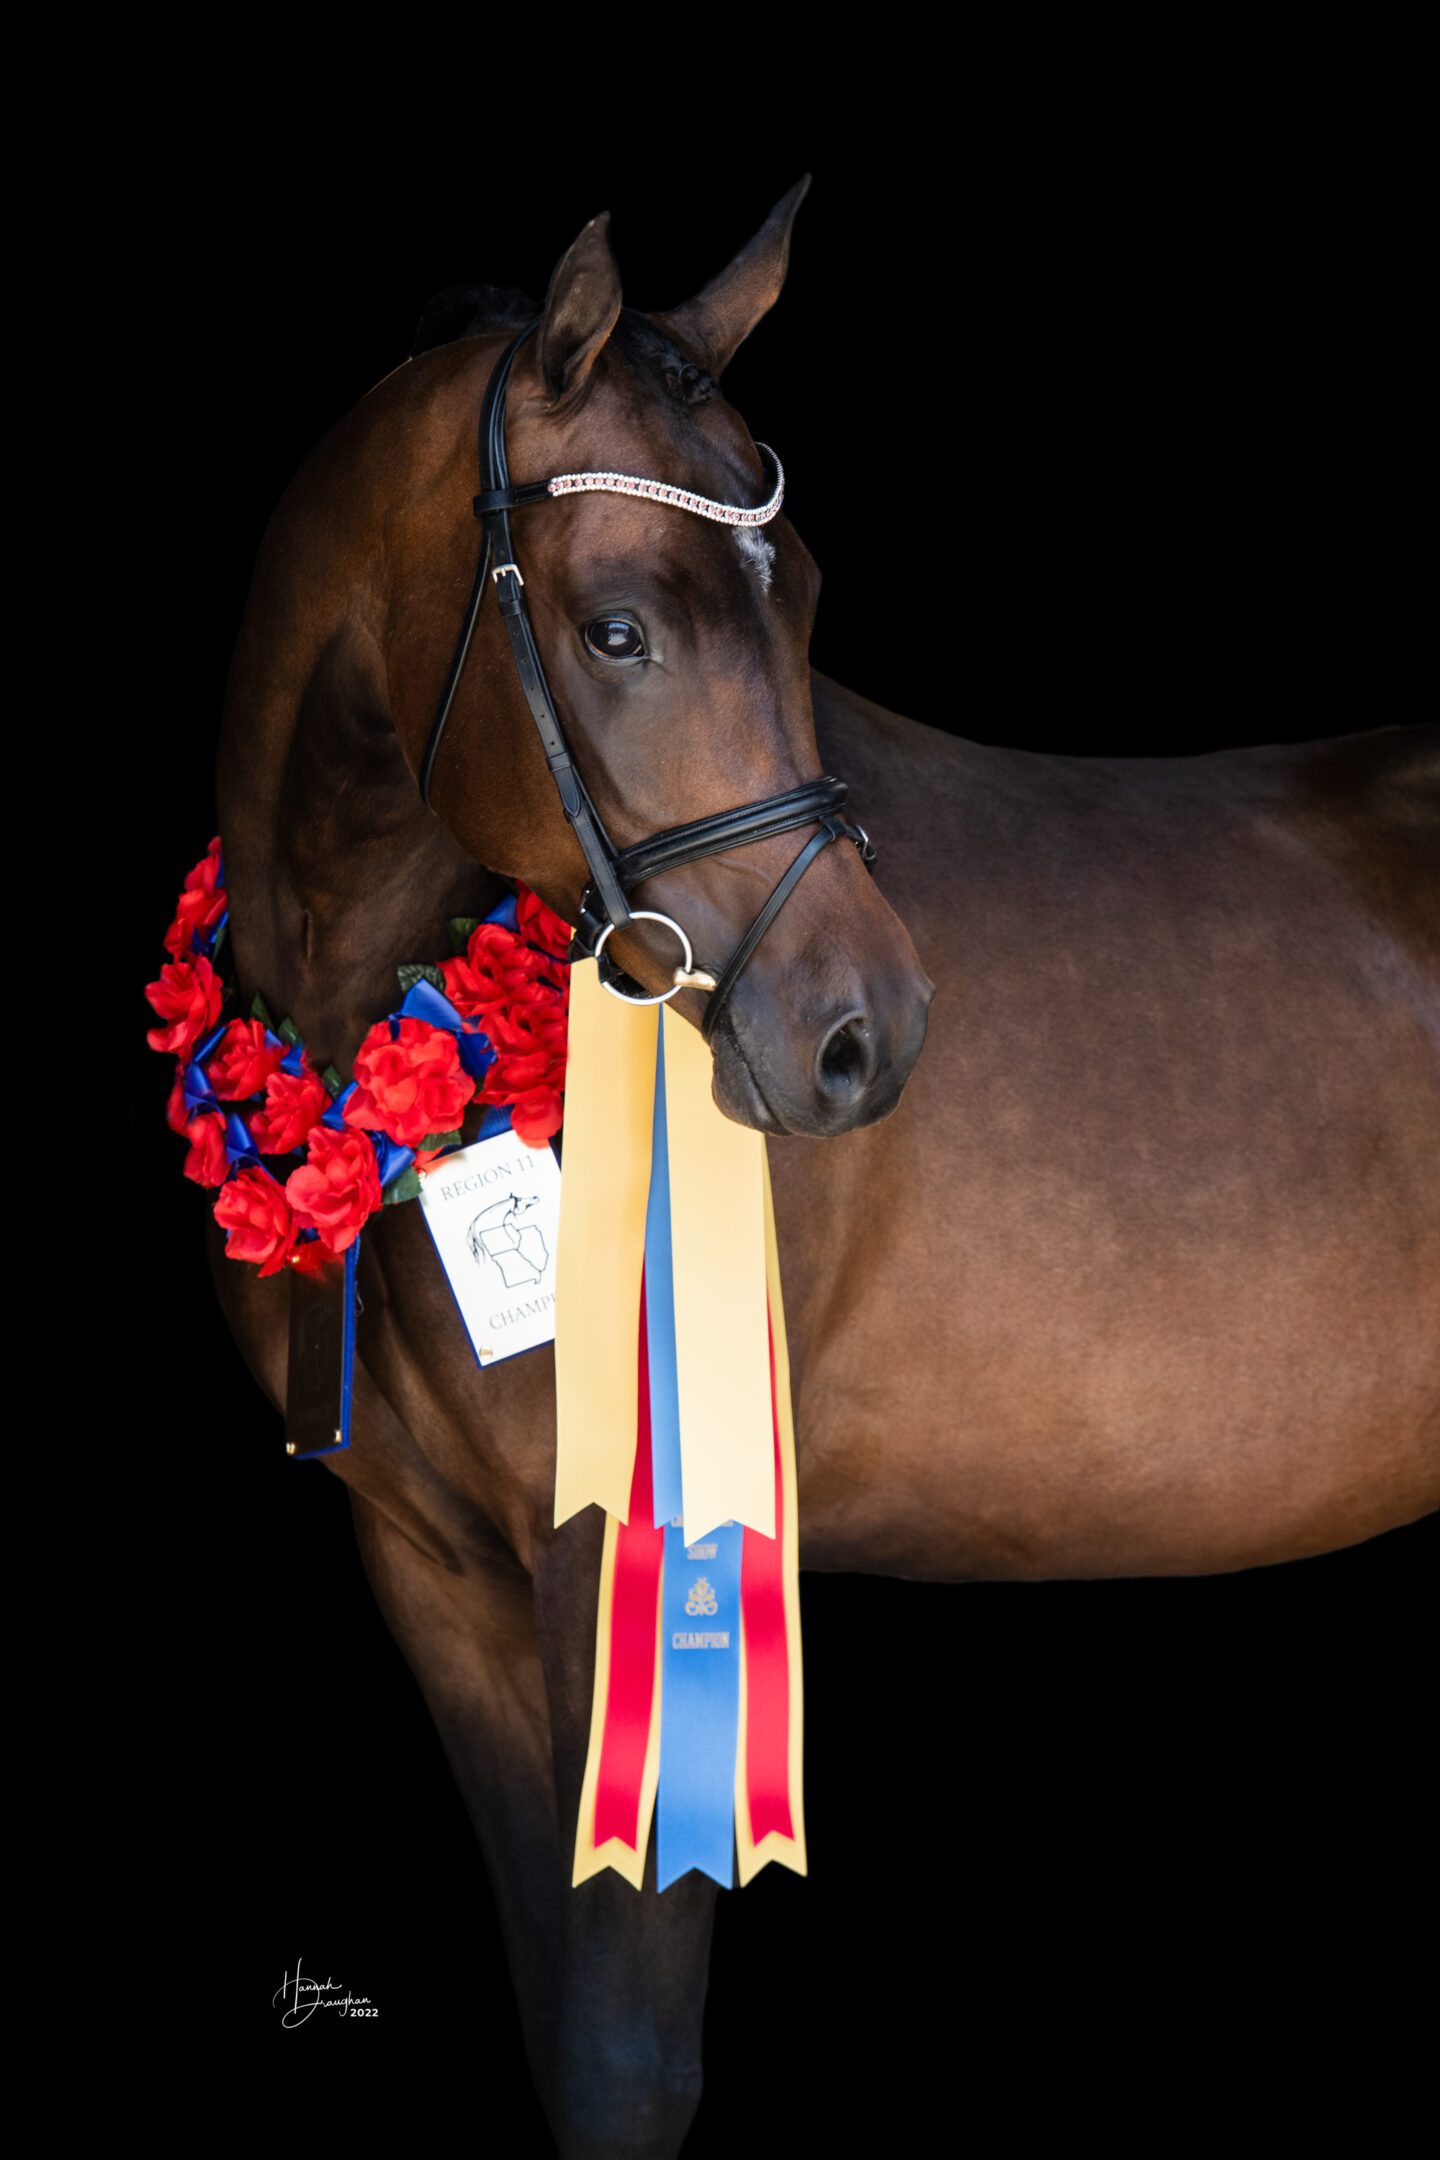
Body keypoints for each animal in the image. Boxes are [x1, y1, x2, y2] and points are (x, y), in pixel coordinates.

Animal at [208, 184, 1439, 2154]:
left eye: (802, 599)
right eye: (615, 629)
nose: (864, 1036)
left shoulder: (632, 1567)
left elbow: (626, 2062)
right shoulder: (439, 1580)